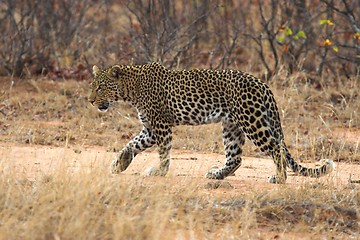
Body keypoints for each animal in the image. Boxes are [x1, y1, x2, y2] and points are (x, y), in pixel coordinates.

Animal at [88, 62, 334, 184]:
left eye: (100, 87)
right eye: (93, 86)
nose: (90, 100)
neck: (131, 89)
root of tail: (262, 83)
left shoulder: (161, 125)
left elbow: (164, 151)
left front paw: (160, 171)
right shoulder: (150, 128)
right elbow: (132, 144)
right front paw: (120, 164)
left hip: (252, 122)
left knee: (275, 148)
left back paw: (279, 178)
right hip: (232, 126)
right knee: (236, 158)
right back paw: (217, 175)